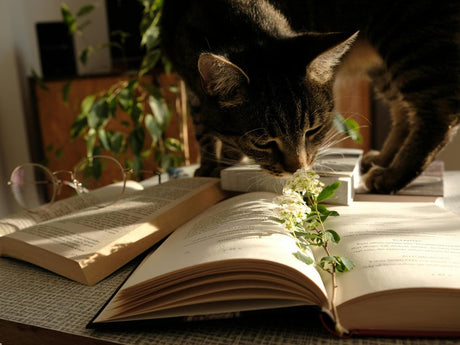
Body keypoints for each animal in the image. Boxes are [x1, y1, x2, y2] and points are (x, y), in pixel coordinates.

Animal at [160, 0, 458, 194]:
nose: (298, 169)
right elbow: (202, 129)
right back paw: (383, 159)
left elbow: (209, 132)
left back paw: (391, 176)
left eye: (313, 130)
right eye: (262, 142)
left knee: (438, 116)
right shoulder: (189, 85)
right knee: (405, 112)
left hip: (412, 40)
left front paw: (225, 162)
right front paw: (211, 165)